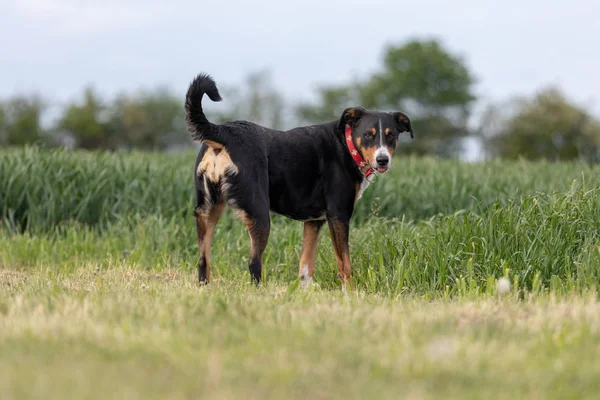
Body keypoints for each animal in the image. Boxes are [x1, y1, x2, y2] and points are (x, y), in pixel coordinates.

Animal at [188, 72, 412, 290]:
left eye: (391, 136)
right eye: (367, 135)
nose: (383, 159)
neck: (347, 146)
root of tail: (223, 131)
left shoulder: (314, 221)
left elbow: (306, 264)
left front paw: (304, 292)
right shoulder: (338, 215)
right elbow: (344, 263)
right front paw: (350, 293)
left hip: (208, 210)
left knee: (203, 260)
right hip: (259, 213)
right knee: (253, 263)